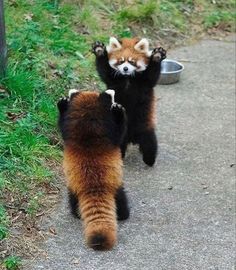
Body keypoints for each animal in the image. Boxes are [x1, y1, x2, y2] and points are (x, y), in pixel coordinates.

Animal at [57, 89, 130, 251]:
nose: (113, 94)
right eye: (112, 98)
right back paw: (124, 213)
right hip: (116, 187)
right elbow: (120, 133)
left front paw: (62, 104)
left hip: (73, 188)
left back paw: (77, 213)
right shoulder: (110, 134)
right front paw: (119, 111)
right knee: (122, 203)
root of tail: (94, 187)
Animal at [92, 36, 166, 167]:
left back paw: (149, 160)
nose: (125, 68)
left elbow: (153, 74)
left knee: (150, 143)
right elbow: (103, 69)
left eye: (132, 62)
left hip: (145, 127)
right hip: (119, 131)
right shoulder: (113, 79)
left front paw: (157, 56)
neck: (127, 78)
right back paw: (119, 157)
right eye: (121, 61)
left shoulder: (145, 82)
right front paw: (99, 51)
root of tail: (131, 138)